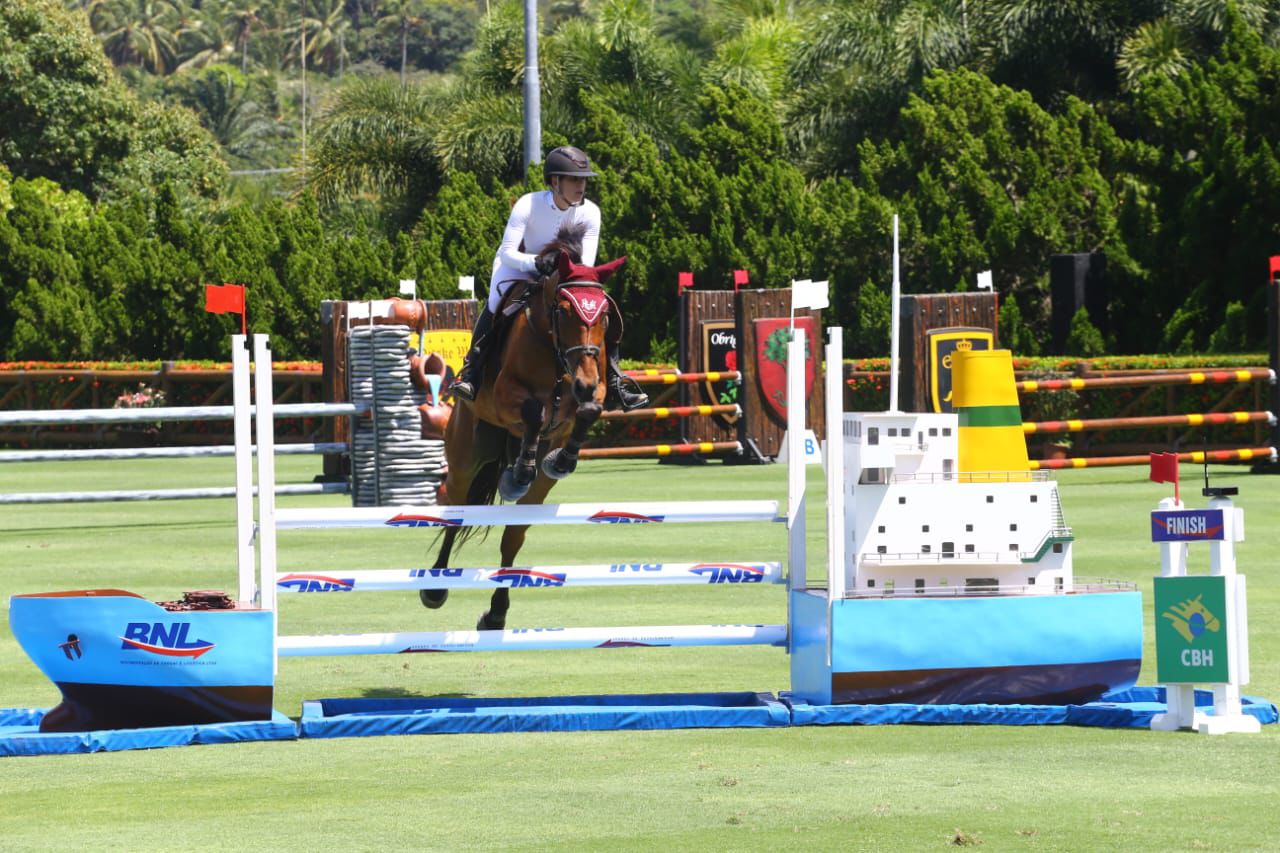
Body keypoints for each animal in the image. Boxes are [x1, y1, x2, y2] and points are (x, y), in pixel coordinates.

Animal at [419, 229, 624, 627]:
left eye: (605, 314)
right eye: (563, 310)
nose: (583, 382)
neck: (553, 347)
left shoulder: (593, 389)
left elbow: (588, 410)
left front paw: (559, 461)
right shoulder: (504, 396)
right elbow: (534, 411)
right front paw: (519, 473)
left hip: (537, 492)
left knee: (512, 538)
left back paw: (497, 612)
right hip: (466, 454)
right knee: (456, 512)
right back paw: (435, 587)